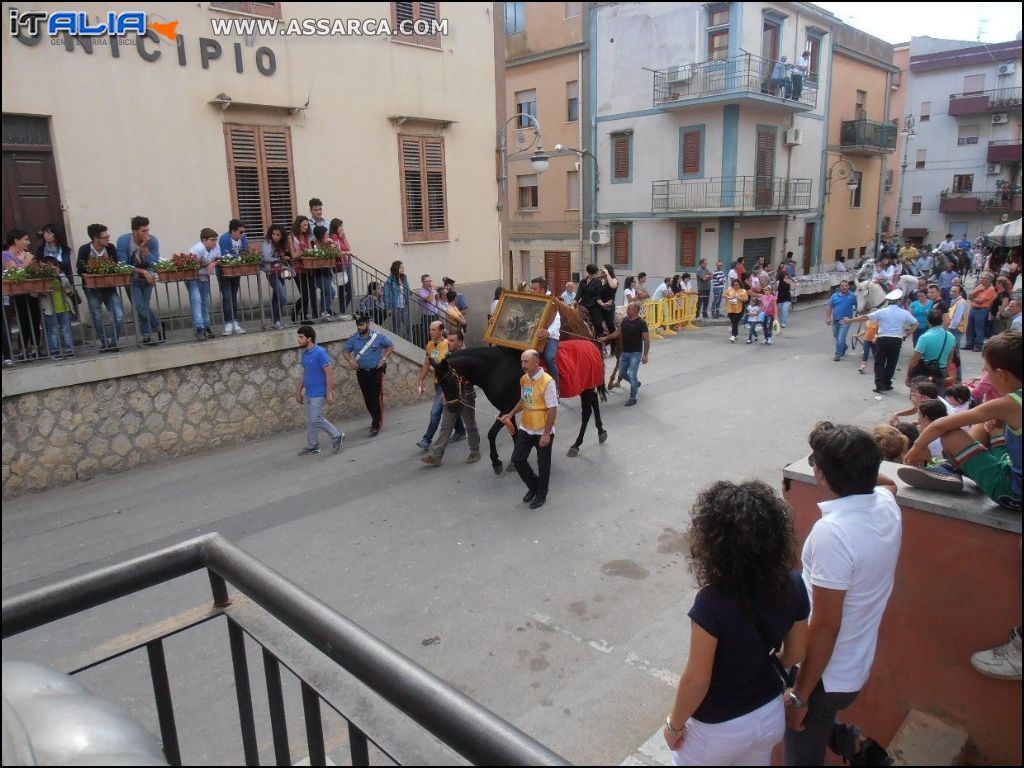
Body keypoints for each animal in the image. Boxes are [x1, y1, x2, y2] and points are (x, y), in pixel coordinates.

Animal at [434, 344, 606, 475]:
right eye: (439, 383)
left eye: (448, 381)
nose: (452, 407)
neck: (496, 369)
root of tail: (592, 345)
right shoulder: (507, 410)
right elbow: (514, 433)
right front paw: (515, 459)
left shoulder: (507, 407)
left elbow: (491, 434)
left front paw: (496, 462)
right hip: (586, 387)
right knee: (594, 404)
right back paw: (600, 433)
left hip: (585, 388)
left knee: (587, 413)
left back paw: (577, 444)